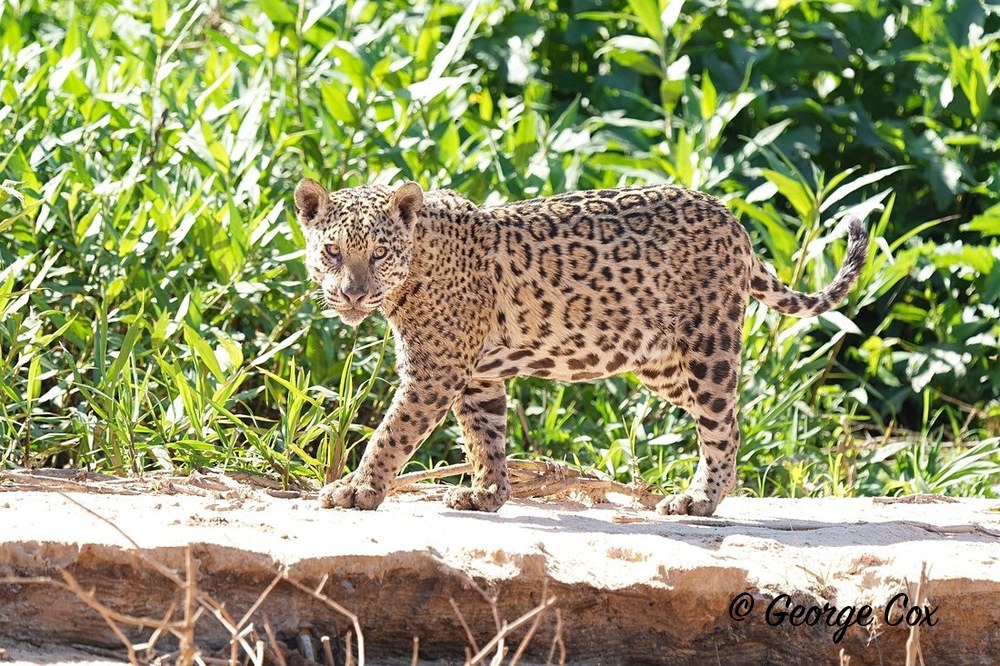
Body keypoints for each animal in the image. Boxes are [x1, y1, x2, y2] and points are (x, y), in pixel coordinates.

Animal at [294, 178, 868, 517]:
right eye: (332, 251)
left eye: (379, 253)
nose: (353, 293)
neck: (418, 260)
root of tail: (734, 222)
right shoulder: (478, 377)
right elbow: (485, 437)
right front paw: (486, 493)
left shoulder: (435, 371)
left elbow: (391, 433)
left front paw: (357, 490)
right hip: (662, 362)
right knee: (727, 421)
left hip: (708, 348)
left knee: (722, 425)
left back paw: (698, 500)